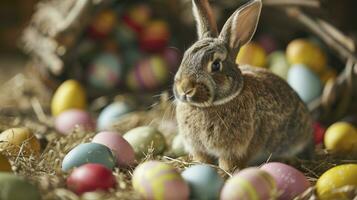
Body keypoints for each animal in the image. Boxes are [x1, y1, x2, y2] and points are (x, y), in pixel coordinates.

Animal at [172, 0, 312, 172]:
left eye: (216, 65)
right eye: (185, 57)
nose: (185, 88)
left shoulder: (233, 150)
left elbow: (229, 163)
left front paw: (226, 172)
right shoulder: (198, 148)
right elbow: (202, 159)